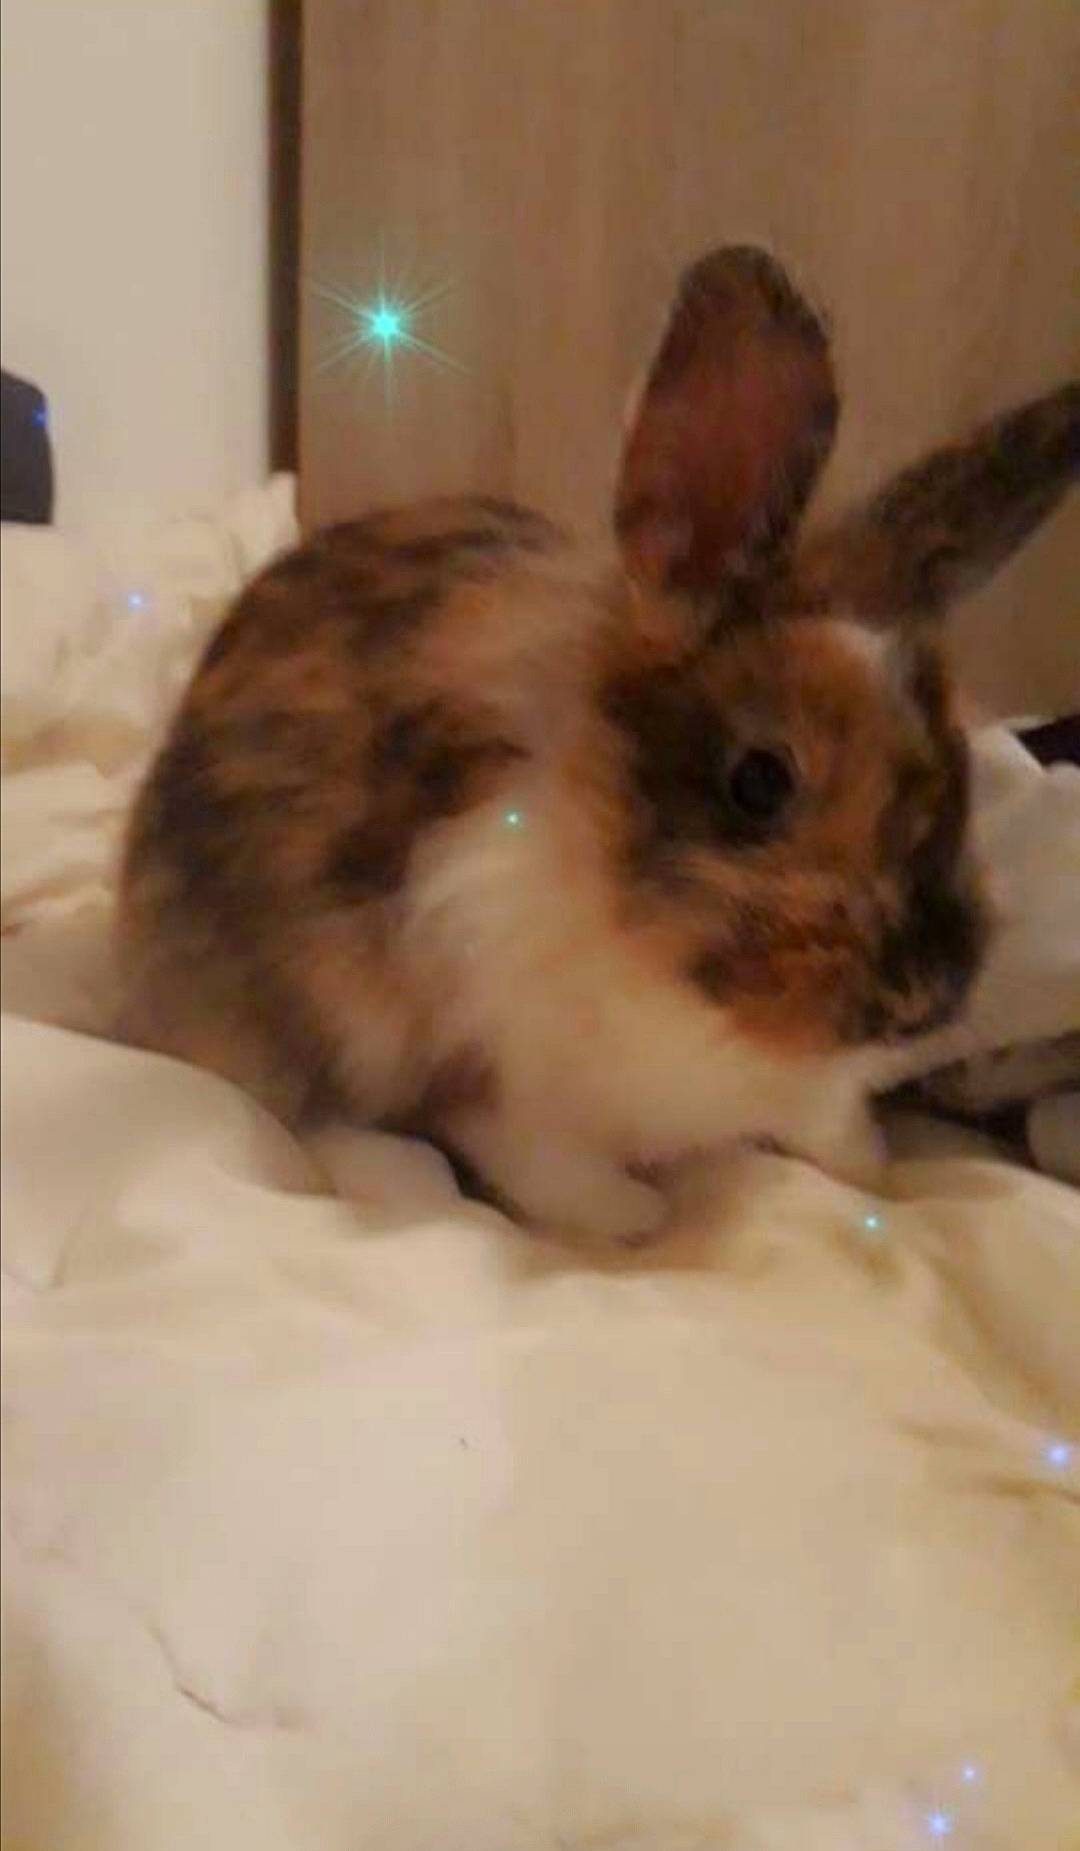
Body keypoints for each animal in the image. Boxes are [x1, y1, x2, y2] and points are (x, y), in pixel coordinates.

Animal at [116, 246, 1080, 1244]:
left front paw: (867, 1167)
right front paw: (632, 1216)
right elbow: (530, 1156)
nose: (924, 997)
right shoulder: (462, 1047)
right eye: (758, 782)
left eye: (961, 774)